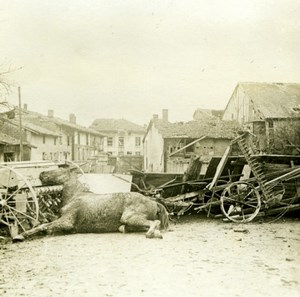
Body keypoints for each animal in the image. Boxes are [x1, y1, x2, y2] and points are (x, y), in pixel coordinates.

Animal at [14, 168, 169, 239]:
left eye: (59, 171)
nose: (41, 173)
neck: (75, 195)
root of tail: (154, 202)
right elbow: (45, 223)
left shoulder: (66, 222)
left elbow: (45, 226)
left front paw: (21, 235)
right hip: (128, 222)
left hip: (129, 217)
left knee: (154, 223)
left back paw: (152, 234)